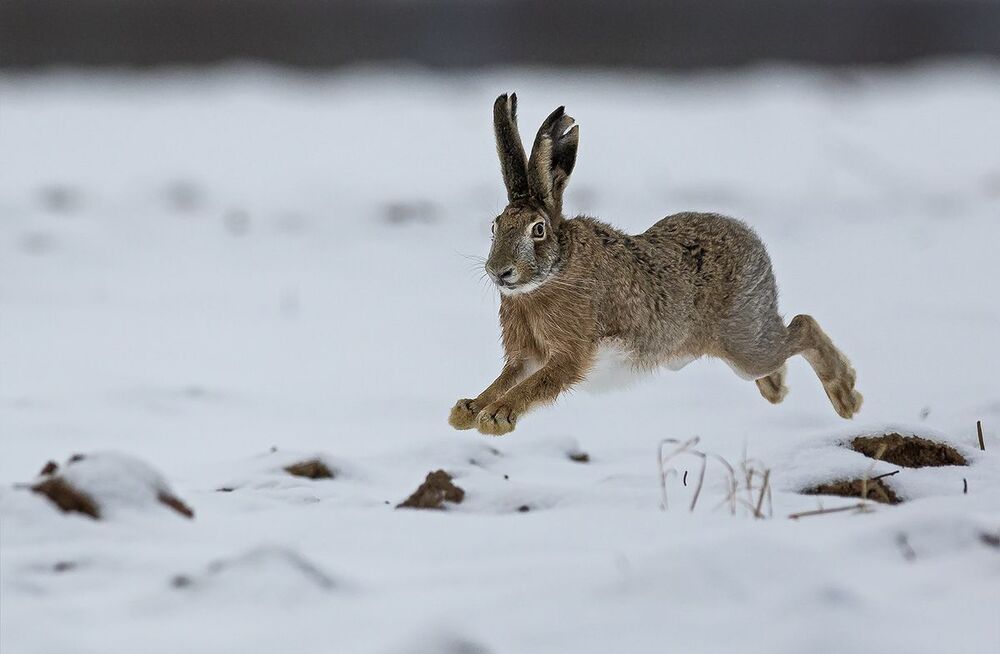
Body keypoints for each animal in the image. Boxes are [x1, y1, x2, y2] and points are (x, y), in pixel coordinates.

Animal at [449, 93, 862, 436]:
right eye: (495, 226)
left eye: (538, 229)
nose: (499, 271)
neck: (552, 275)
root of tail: (752, 240)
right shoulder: (524, 354)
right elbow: (506, 378)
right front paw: (468, 410)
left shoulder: (571, 352)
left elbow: (539, 383)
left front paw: (497, 417)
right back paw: (776, 388)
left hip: (744, 344)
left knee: (802, 326)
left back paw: (846, 397)